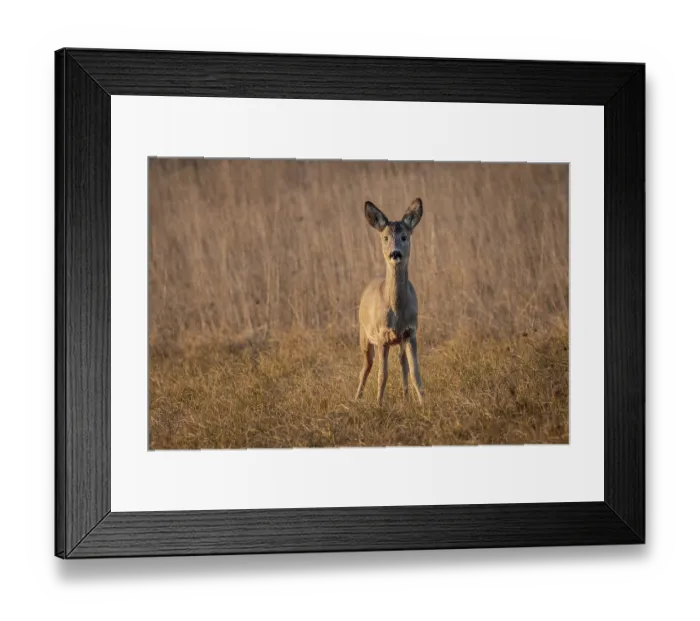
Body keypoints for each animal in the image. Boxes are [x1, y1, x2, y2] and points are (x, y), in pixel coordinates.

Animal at [355, 198, 425, 406]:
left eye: (404, 236)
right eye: (385, 237)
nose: (395, 253)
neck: (397, 309)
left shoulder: (411, 332)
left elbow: (415, 372)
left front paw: (423, 403)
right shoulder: (381, 336)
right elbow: (382, 375)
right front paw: (378, 405)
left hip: (399, 341)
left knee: (402, 364)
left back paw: (406, 396)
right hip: (364, 335)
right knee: (365, 367)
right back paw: (356, 397)